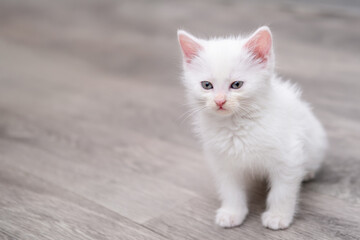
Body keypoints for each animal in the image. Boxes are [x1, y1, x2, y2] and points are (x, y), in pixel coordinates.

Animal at [176, 26, 326, 231]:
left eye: (237, 85)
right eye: (206, 85)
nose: (220, 101)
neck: (237, 126)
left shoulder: (288, 157)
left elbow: (282, 191)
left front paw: (278, 216)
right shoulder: (223, 161)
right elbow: (230, 189)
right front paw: (232, 213)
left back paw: (307, 173)